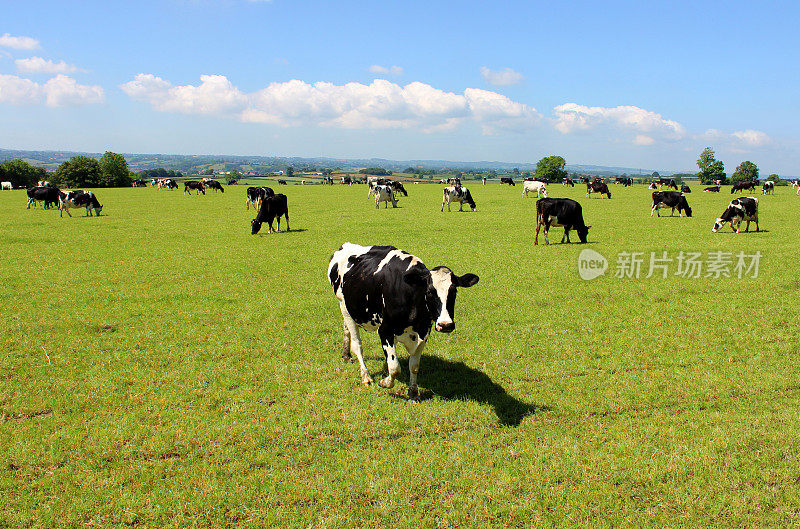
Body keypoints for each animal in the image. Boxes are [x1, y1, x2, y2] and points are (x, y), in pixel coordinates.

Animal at [326, 241, 478, 398]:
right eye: (430, 292)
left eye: (454, 291)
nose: (446, 324)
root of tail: (345, 246)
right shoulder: (385, 330)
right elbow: (394, 368)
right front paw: (384, 382)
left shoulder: (424, 332)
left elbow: (414, 366)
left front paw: (413, 392)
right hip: (344, 306)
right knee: (357, 344)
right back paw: (366, 376)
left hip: (350, 309)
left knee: (346, 330)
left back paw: (346, 354)